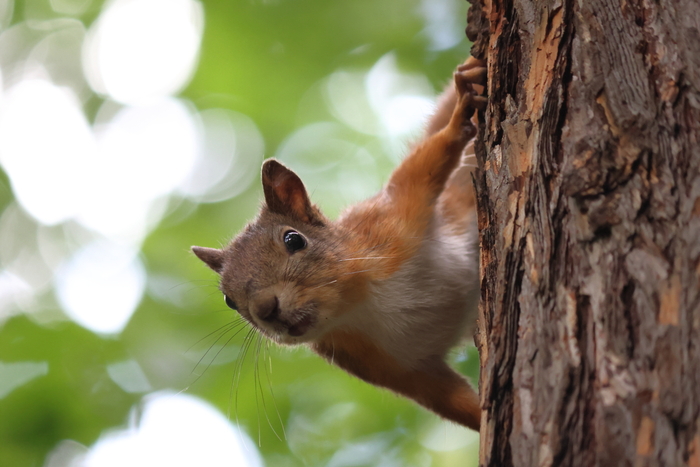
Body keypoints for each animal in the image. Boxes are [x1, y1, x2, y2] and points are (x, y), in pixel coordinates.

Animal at [192, 57, 487, 430]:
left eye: (294, 239)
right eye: (229, 300)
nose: (265, 309)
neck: (358, 305)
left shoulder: (392, 220)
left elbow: (426, 163)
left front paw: (459, 115)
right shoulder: (388, 366)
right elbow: (446, 398)